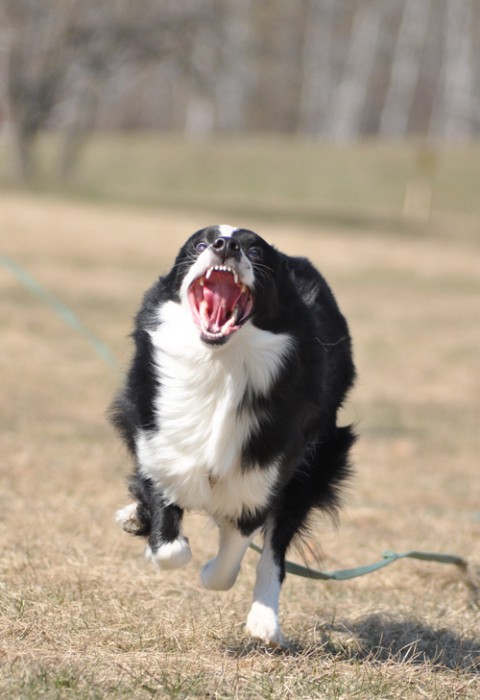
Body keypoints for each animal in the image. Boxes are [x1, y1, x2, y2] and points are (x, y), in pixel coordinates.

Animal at [110, 224, 354, 644]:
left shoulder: (261, 475)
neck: (219, 365)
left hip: (315, 463)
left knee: (274, 552)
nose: (227, 245)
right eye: (200, 244)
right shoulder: (158, 441)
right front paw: (149, 527)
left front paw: (210, 572)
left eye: (255, 250)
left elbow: (232, 554)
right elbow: (171, 545)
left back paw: (265, 622)